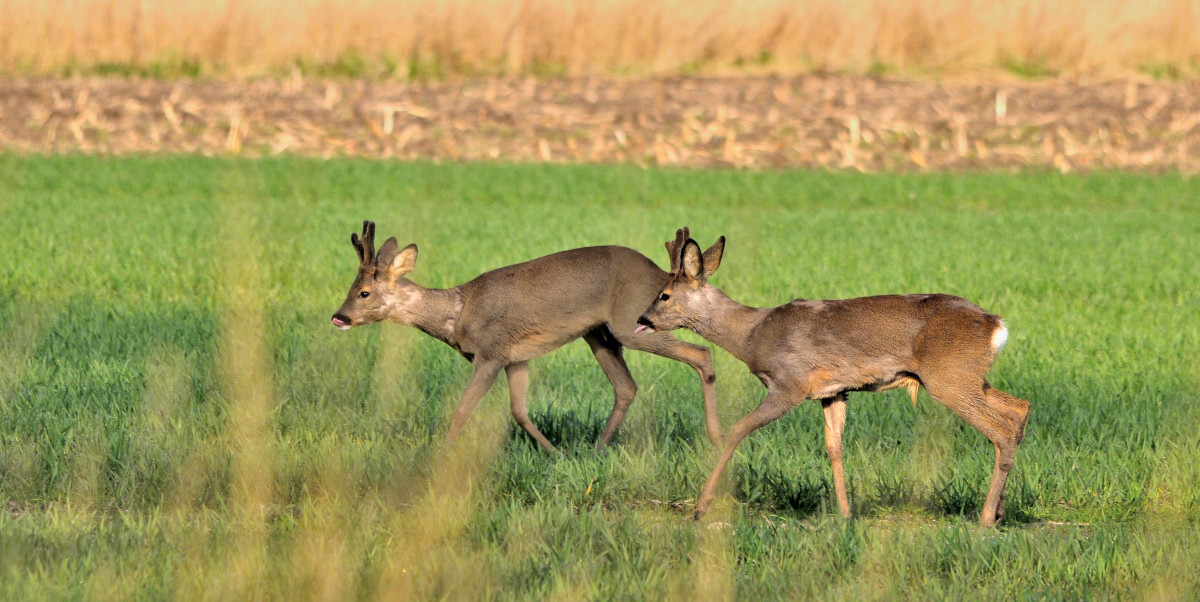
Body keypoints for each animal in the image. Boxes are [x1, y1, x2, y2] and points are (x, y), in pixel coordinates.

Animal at [331, 220, 720, 450]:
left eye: (364, 292)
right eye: (352, 287)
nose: (338, 316)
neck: (458, 313)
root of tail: (660, 274)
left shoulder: (491, 353)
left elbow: (462, 408)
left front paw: (443, 452)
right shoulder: (515, 358)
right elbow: (518, 410)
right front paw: (551, 452)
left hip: (630, 324)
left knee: (701, 354)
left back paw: (715, 439)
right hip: (598, 333)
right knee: (626, 387)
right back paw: (598, 447)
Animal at [638, 227, 1032, 525]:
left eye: (664, 295)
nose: (642, 319)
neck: (751, 334)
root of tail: (997, 325)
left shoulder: (790, 383)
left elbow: (738, 430)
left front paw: (701, 508)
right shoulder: (833, 391)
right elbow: (834, 447)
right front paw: (844, 514)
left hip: (948, 377)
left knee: (1000, 430)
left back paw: (985, 518)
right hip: (968, 376)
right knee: (1019, 409)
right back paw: (999, 511)